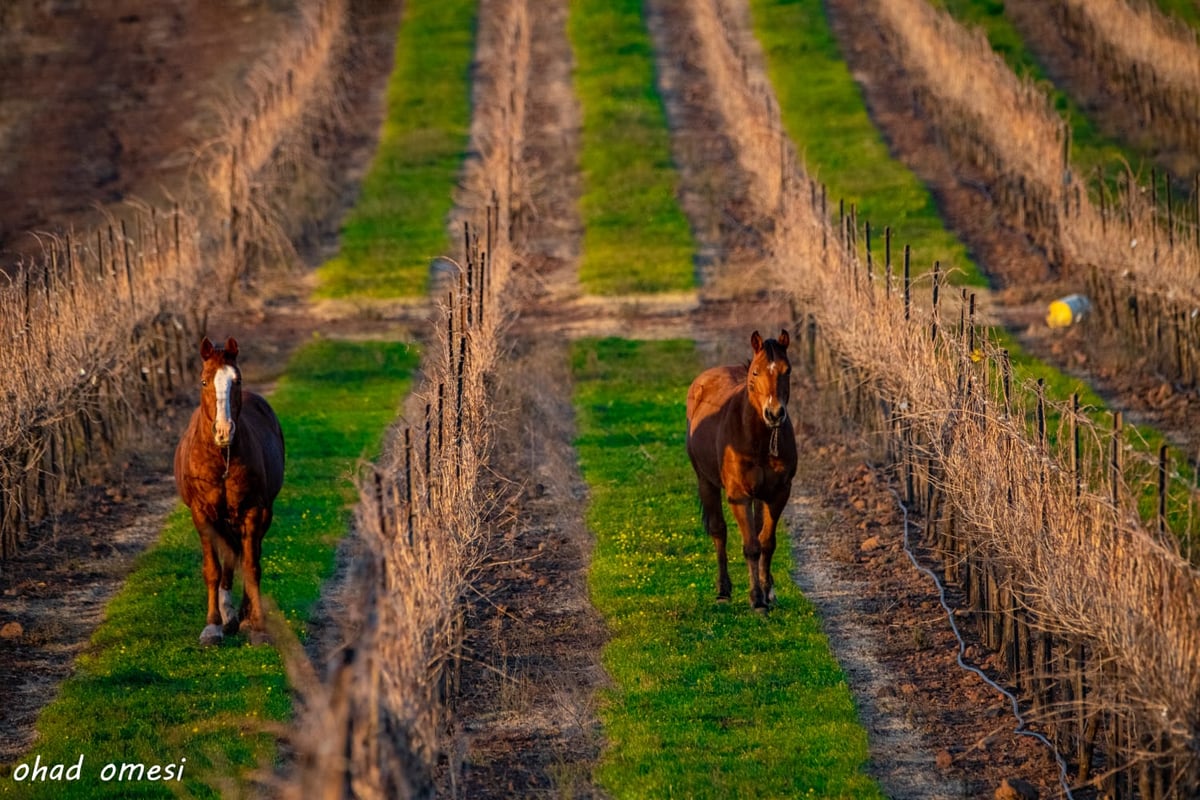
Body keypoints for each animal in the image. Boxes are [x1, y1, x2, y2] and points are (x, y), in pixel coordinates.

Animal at [174, 335, 283, 642]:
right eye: (203, 381)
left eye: (238, 380)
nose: (223, 431)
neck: (222, 457)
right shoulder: (202, 514)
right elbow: (213, 569)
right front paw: (213, 626)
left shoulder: (253, 511)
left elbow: (251, 565)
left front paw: (256, 625)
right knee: (228, 558)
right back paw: (228, 615)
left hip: (259, 515)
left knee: (247, 553)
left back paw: (241, 616)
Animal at [686, 328, 796, 609]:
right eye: (755, 372)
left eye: (787, 370)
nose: (775, 413)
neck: (758, 438)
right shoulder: (739, 496)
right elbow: (751, 547)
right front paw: (756, 600)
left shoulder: (778, 494)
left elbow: (766, 542)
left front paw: (767, 592)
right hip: (706, 482)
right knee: (719, 532)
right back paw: (723, 591)